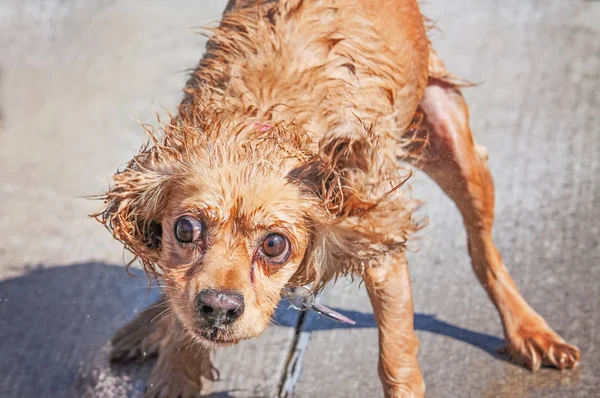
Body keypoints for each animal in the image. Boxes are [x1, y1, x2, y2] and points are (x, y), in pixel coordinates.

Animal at [95, 1, 580, 396]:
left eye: (275, 244)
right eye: (185, 229)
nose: (219, 307)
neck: (262, 122)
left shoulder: (376, 236)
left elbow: (396, 360)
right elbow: (181, 326)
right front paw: (172, 362)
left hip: (454, 148)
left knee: (484, 252)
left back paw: (528, 330)